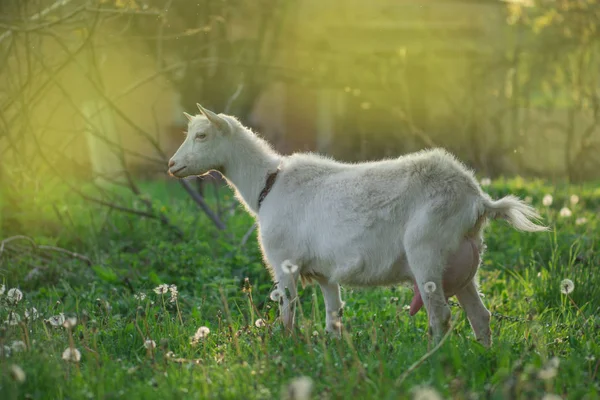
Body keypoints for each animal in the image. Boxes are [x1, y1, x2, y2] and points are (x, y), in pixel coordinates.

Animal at [169, 104, 548, 346]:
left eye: (201, 135)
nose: (172, 165)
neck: (268, 183)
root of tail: (478, 201)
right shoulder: (324, 273)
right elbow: (333, 315)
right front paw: (333, 349)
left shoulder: (284, 263)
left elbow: (287, 311)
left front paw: (284, 347)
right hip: (463, 264)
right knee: (480, 316)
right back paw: (484, 356)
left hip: (427, 250)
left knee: (440, 316)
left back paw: (431, 361)